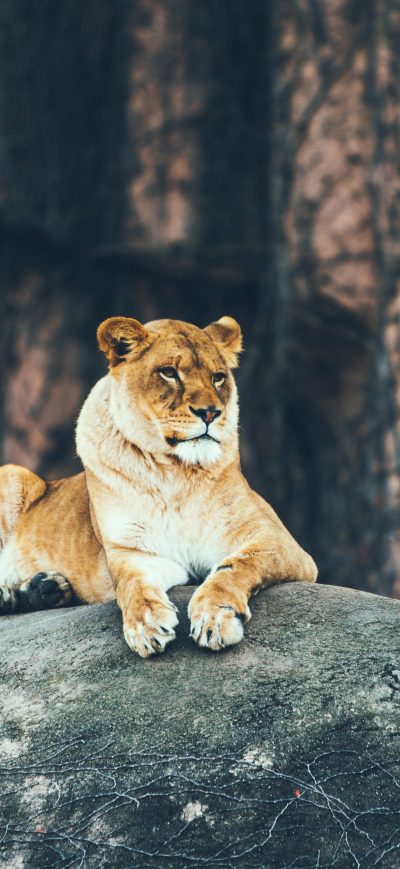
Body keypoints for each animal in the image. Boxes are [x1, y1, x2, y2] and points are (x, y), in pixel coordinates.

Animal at [0, 315, 317, 656]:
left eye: (218, 378)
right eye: (169, 372)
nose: (210, 412)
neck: (175, 473)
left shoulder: (278, 541)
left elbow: (236, 566)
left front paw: (215, 617)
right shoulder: (133, 551)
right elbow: (132, 585)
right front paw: (146, 625)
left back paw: (43, 590)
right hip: (13, 473)